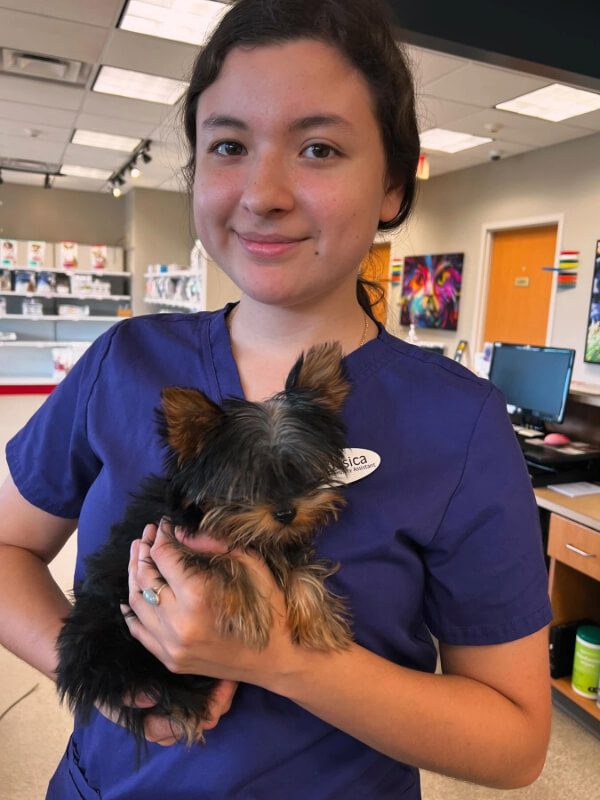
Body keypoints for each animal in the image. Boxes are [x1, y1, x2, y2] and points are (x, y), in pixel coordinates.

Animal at [56, 342, 352, 744]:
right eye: (243, 485)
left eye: (301, 471)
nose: (286, 512)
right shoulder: (171, 535)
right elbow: (226, 556)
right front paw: (252, 610)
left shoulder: (283, 539)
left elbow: (300, 569)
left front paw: (319, 621)